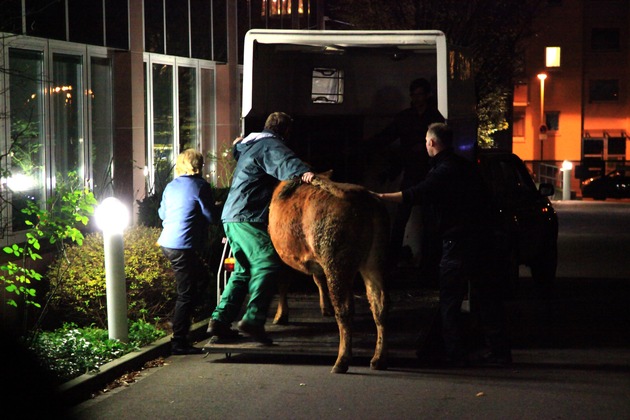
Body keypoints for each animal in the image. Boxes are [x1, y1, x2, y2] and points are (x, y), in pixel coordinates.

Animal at [268, 174, 390, 374]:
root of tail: (362, 197)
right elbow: (318, 279)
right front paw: (324, 307)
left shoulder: (279, 255)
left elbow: (283, 281)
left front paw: (280, 315)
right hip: (374, 262)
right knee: (379, 305)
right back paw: (378, 359)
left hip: (336, 263)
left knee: (345, 310)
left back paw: (341, 361)